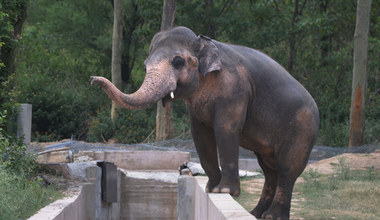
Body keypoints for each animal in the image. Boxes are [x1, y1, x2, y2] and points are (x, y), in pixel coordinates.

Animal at [91, 26, 318, 220]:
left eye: (178, 62)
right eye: (145, 66)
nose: (93, 79)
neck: (203, 42)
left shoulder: (234, 89)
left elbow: (225, 129)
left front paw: (225, 191)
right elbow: (200, 133)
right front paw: (211, 189)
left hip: (302, 130)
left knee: (287, 169)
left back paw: (271, 215)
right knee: (269, 170)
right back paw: (256, 213)